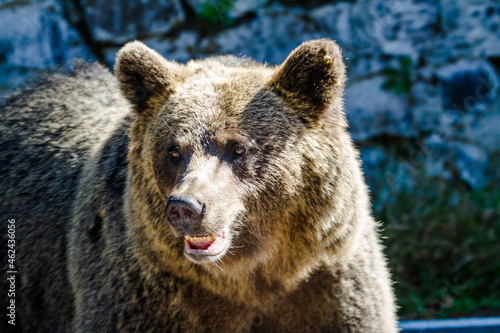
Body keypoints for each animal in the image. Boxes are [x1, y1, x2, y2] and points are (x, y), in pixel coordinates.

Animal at [0, 38, 398, 330]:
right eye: (174, 150)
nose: (186, 207)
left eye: (237, 147)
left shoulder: (327, 281)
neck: (247, 277)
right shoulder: (144, 293)